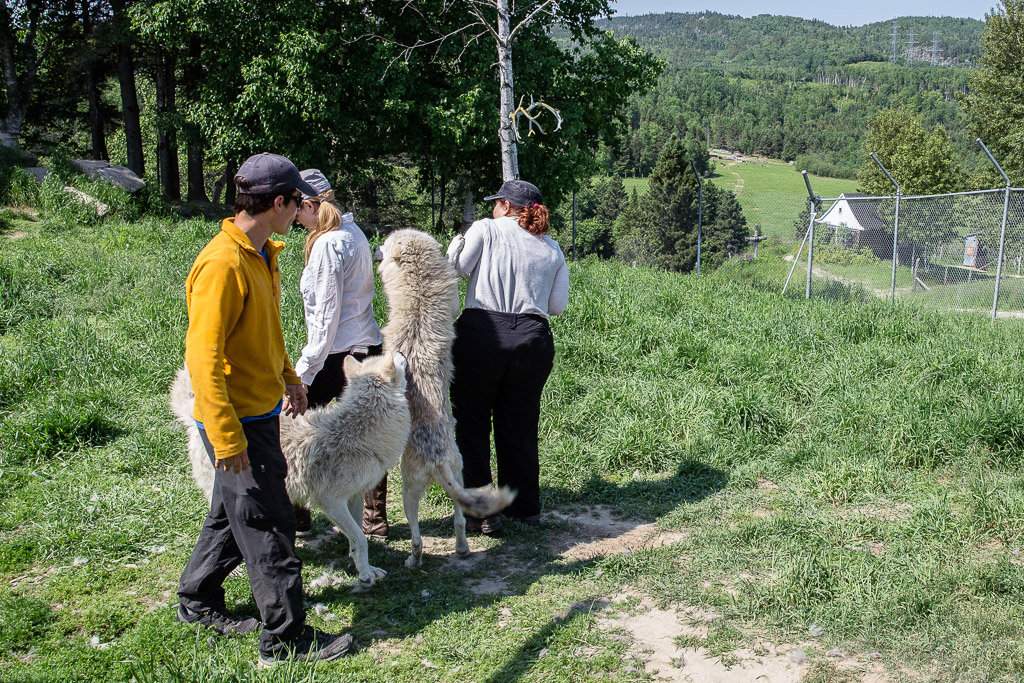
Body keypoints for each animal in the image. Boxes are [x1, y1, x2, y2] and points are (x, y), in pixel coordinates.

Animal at [376, 229, 516, 573]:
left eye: (387, 241)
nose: (375, 250)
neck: (417, 288)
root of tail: (436, 459)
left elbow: (453, 260)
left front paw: (458, 241)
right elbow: (452, 263)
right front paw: (457, 241)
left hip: (409, 492)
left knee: (417, 538)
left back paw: (414, 563)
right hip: (457, 474)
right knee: (459, 522)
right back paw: (461, 551)